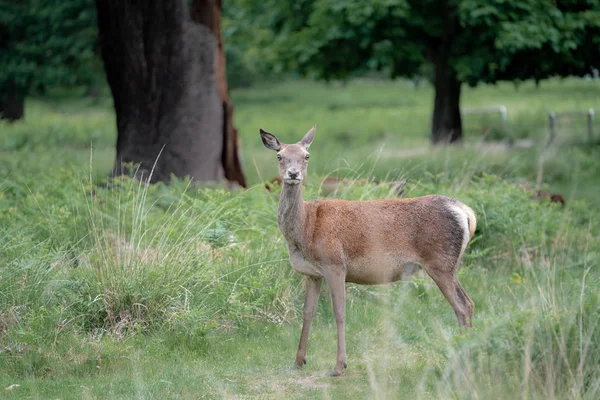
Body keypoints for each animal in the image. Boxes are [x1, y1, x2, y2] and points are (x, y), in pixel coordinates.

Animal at [260, 126, 476, 378]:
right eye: (279, 156)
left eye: (306, 156)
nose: (293, 174)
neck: (306, 229)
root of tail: (465, 212)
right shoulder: (312, 274)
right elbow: (307, 312)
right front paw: (298, 360)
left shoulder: (335, 264)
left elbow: (339, 312)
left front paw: (339, 366)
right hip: (449, 264)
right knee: (468, 304)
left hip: (440, 261)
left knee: (462, 306)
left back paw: (462, 362)